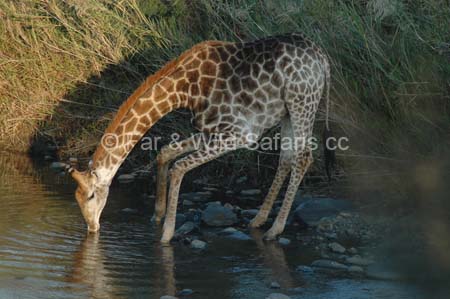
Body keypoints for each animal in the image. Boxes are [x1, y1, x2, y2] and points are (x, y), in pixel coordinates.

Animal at [67, 32, 330, 244]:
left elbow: (179, 167)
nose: (92, 228)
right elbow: (165, 152)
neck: (185, 91)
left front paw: (166, 235)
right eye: (77, 198)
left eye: (91, 195)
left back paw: (275, 229)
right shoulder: (211, 131)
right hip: (287, 111)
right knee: (287, 157)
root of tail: (323, 60)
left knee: (303, 157)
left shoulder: (240, 134)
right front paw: (157, 215)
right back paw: (258, 220)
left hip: (301, 101)